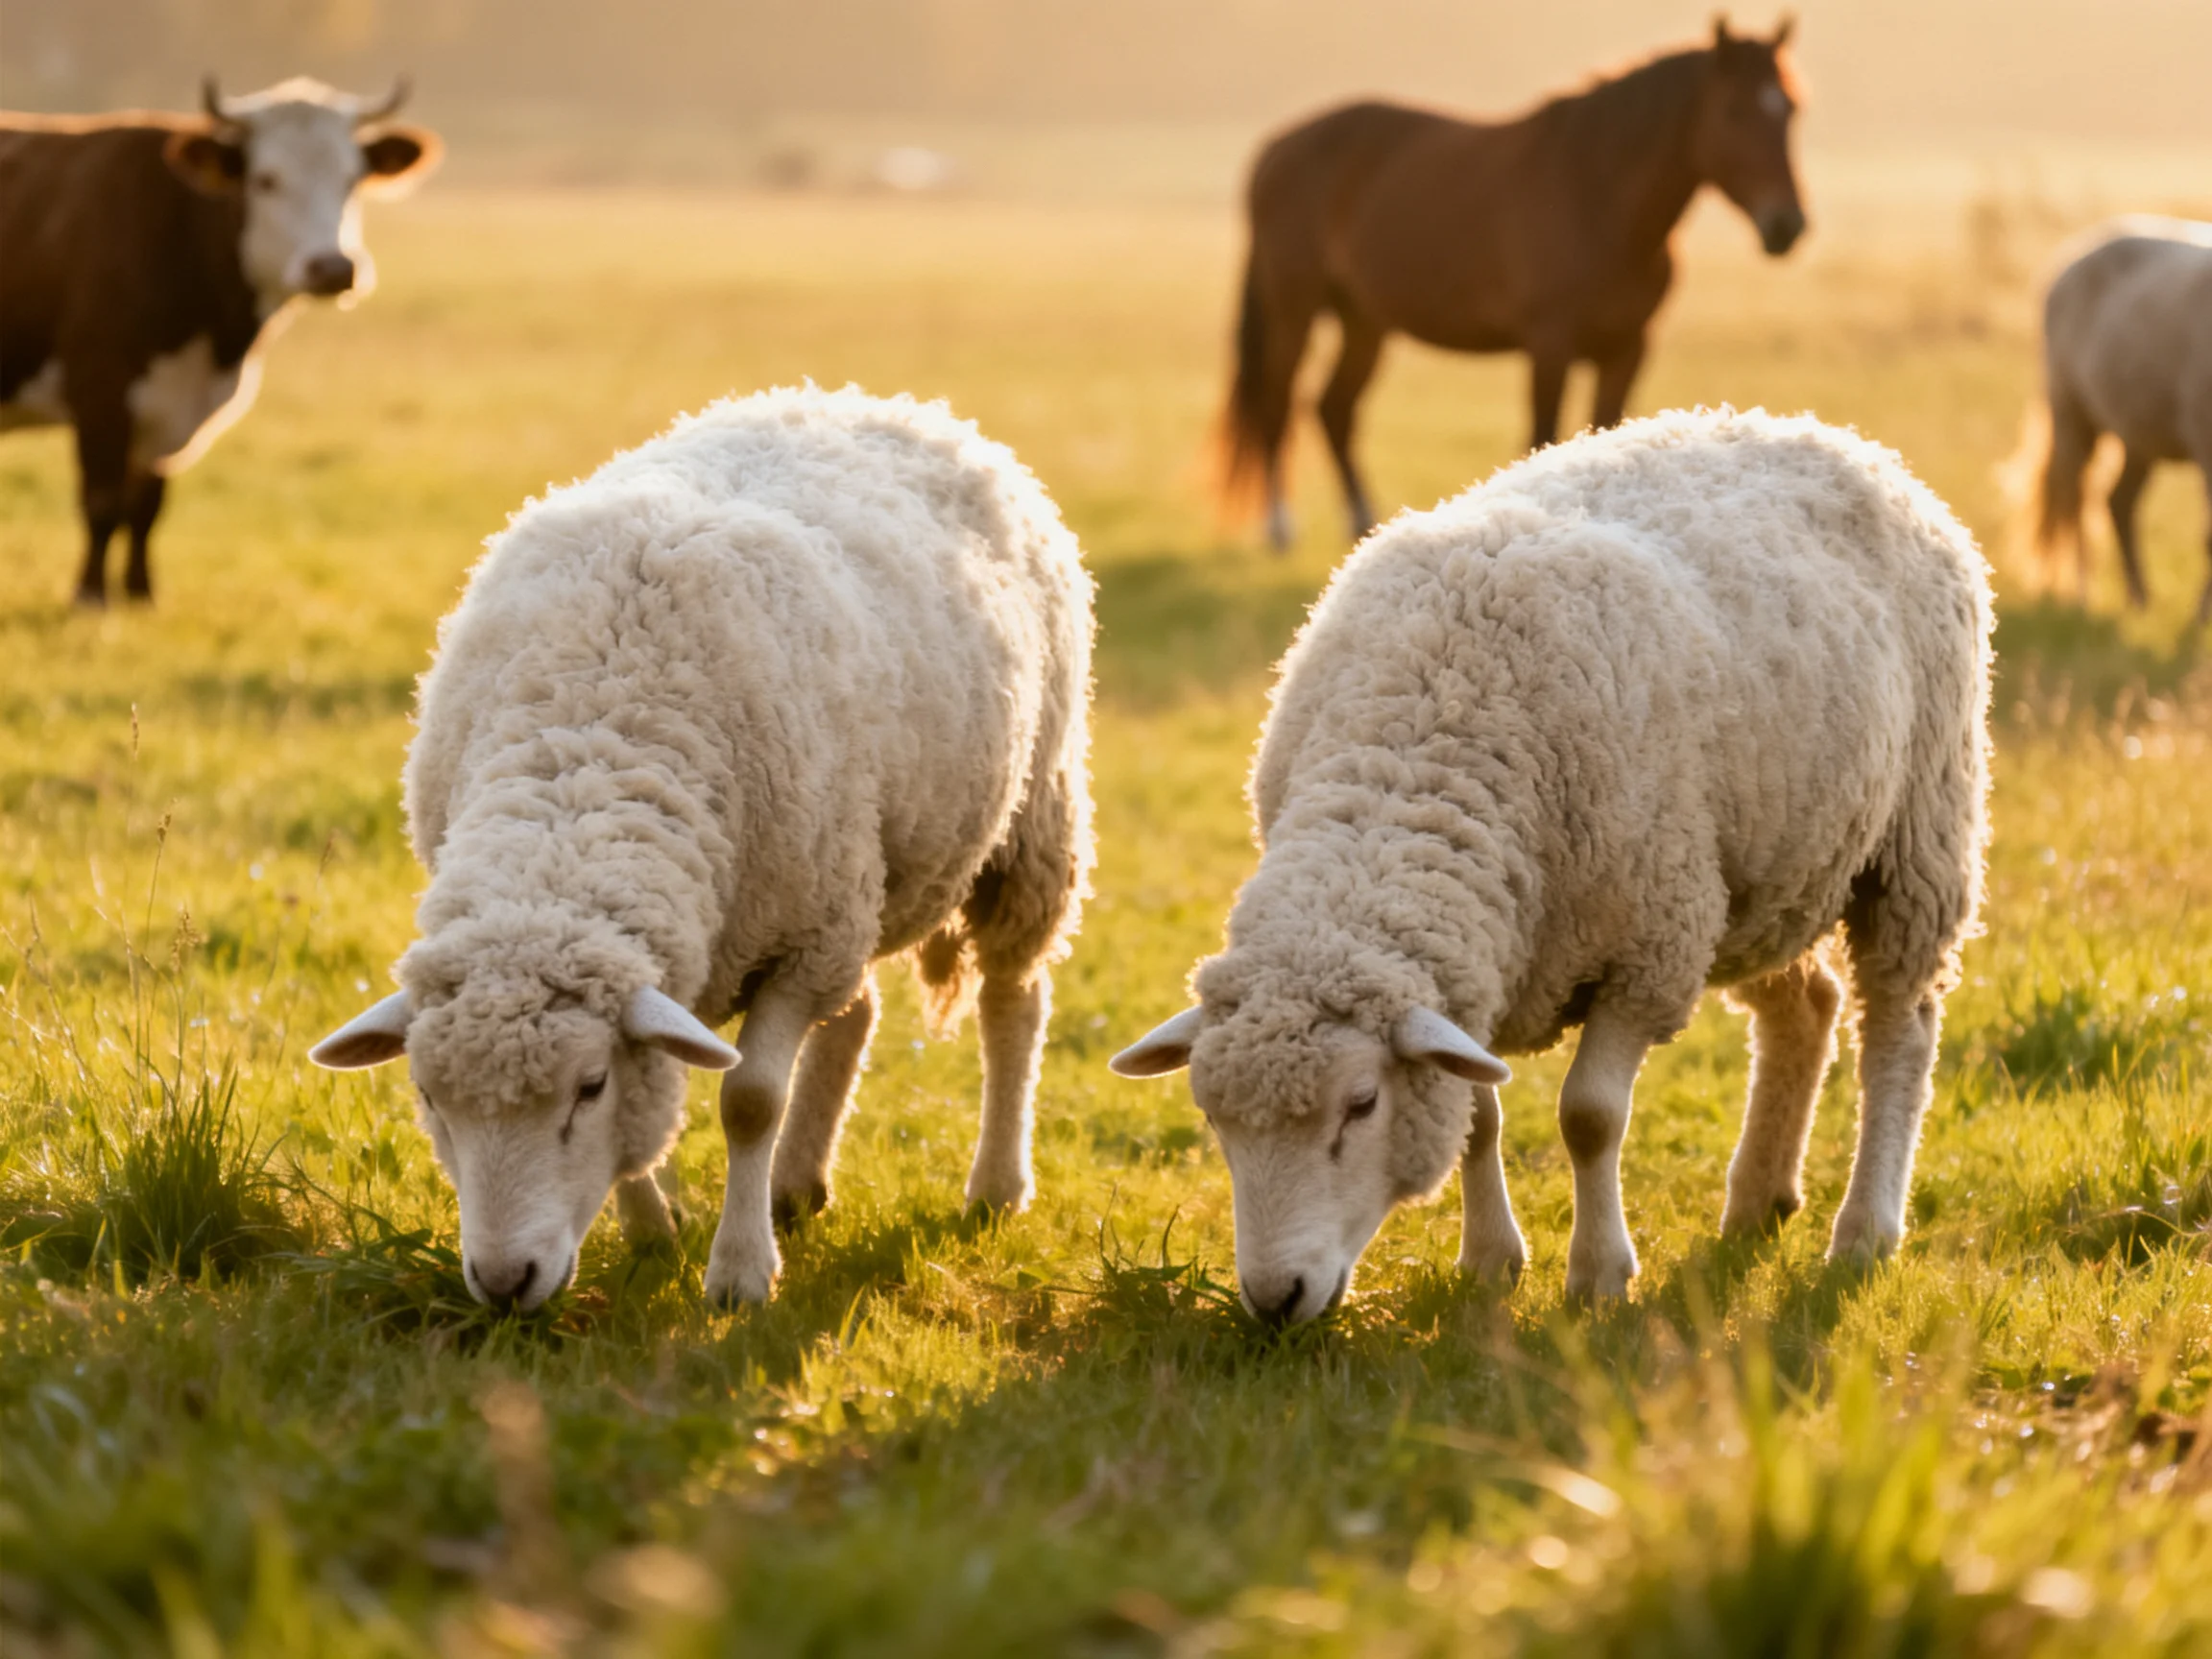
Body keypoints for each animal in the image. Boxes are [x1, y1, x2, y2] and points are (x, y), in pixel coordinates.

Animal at [0, 77, 440, 606]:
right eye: (266, 180)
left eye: (351, 179)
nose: (333, 268)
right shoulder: (100, 391)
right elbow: (103, 502)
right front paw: (90, 596)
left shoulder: (167, 410)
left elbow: (146, 507)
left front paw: (141, 594)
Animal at [311, 385, 1095, 1311]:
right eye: (429, 1096)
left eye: (588, 1087)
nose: (504, 1283)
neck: (585, 768)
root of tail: (883, 402)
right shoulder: (797, 928)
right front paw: (654, 1235)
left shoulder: (802, 943)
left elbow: (751, 1100)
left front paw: (741, 1274)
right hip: (861, 875)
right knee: (858, 1014)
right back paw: (799, 1183)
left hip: (1026, 822)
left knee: (1013, 1000)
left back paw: (996, 1187)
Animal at [1111, 408, 1991, 1323]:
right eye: (1213, 1118)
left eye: (1361, 1103)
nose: (1275, 1298)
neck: (1413, 760)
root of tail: (1830, 435)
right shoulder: (1480, 976)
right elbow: (1478, 1122)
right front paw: (1490, 1260)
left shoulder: (1648, 949)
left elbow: (1590, 1117)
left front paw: (1600, 1274)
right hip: (1767, 871)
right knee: (1807, 1006)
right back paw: (1758, 1196)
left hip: (1918, 832)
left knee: (1899, 1027)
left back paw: (1865, 1229)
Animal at [1222, 17, 1807, 550]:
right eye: (1733, 111)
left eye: (1791, 110)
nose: (1786, 225)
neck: (1595, 195)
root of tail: (1276, 147)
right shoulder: (1550, 345)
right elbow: (1542, 436)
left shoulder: (1628, 347)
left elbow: (1606, 430)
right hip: (1294, 307)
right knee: (1278, 401)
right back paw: (1280, 529)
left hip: (1364, 320)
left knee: (1333, 409)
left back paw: (1363, 524)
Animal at [2028, 218, 2212, 623]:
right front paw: (2201, 618)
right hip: (2072, 417)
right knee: (2075, 501)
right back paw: (2081, 597)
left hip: (2137, 440)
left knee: (2119, 502)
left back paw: (2138, 599)